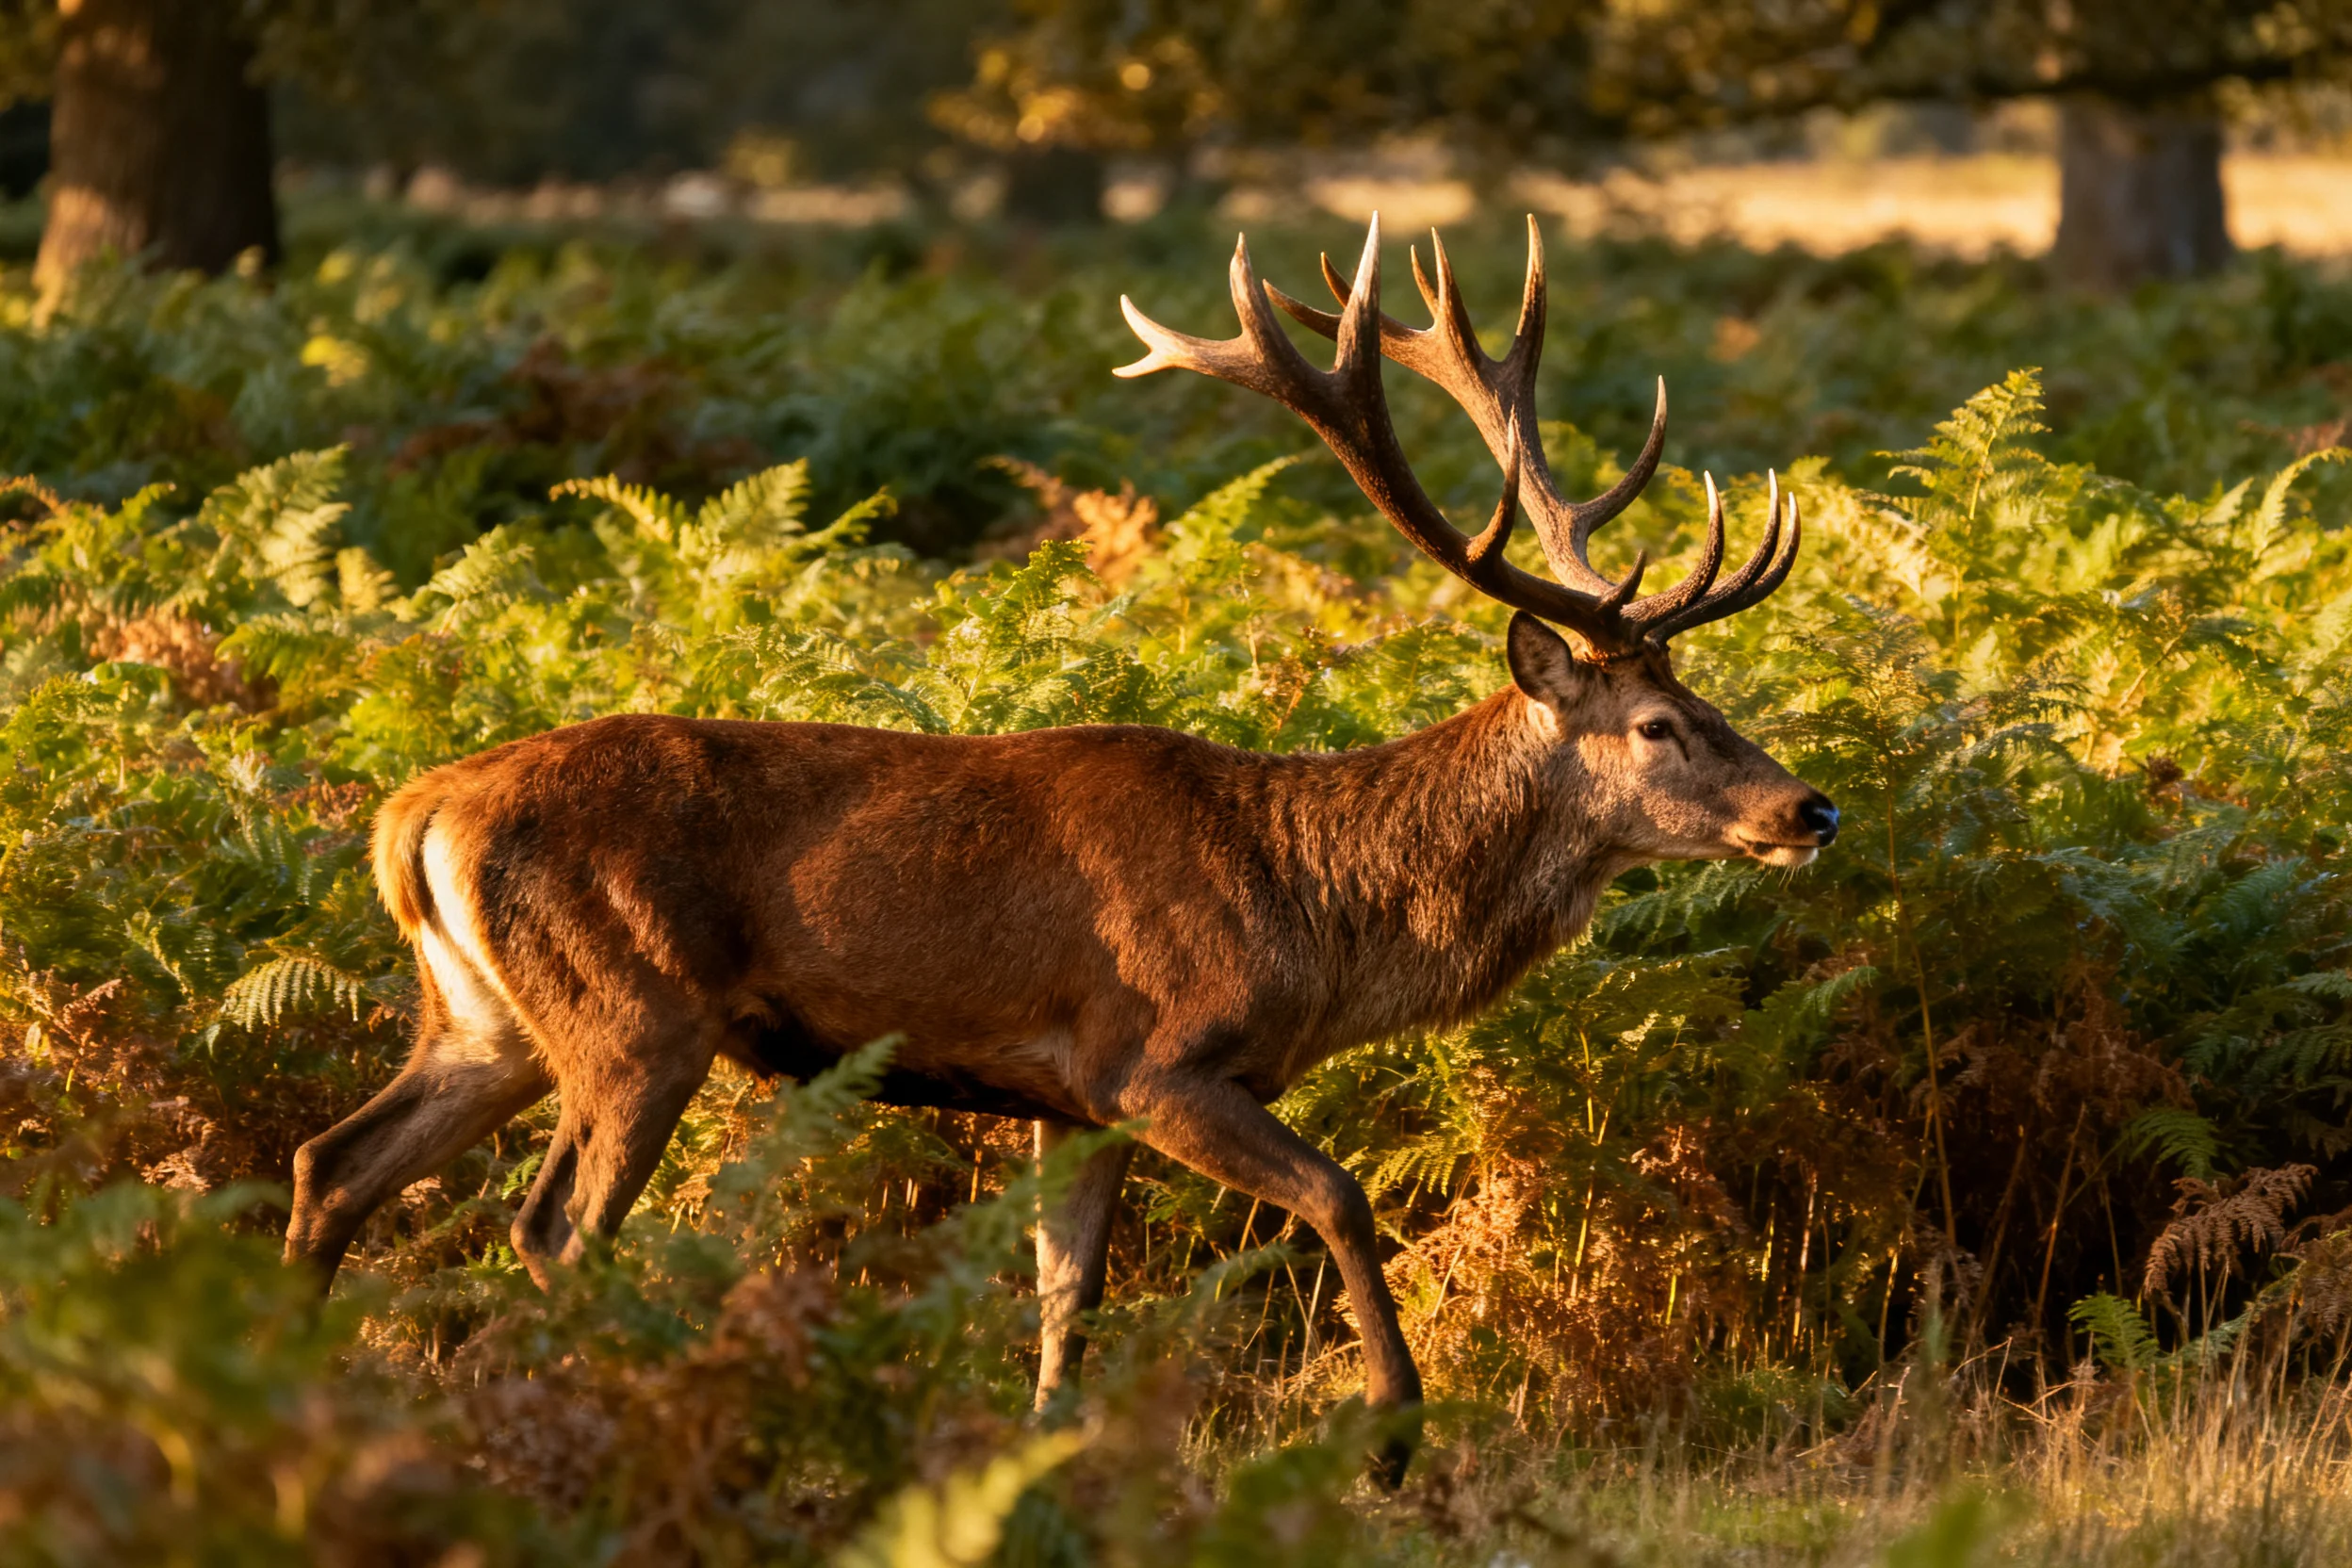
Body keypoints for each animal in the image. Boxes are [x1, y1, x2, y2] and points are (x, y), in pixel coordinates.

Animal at [282, 215, 1837, 1484]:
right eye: (1657, 724)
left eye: (1714, 701)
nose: (1809, 810)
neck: (1312, 911)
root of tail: (411, 816)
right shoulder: (1150, 1058)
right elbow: (1338, 1193)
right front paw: (1395, 1441)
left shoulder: (1065, 1101)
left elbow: (1062, 1298)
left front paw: (1043, 1457)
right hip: (636, 1014)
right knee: (552, 1231)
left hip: (482, 1018)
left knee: (332, 1161)